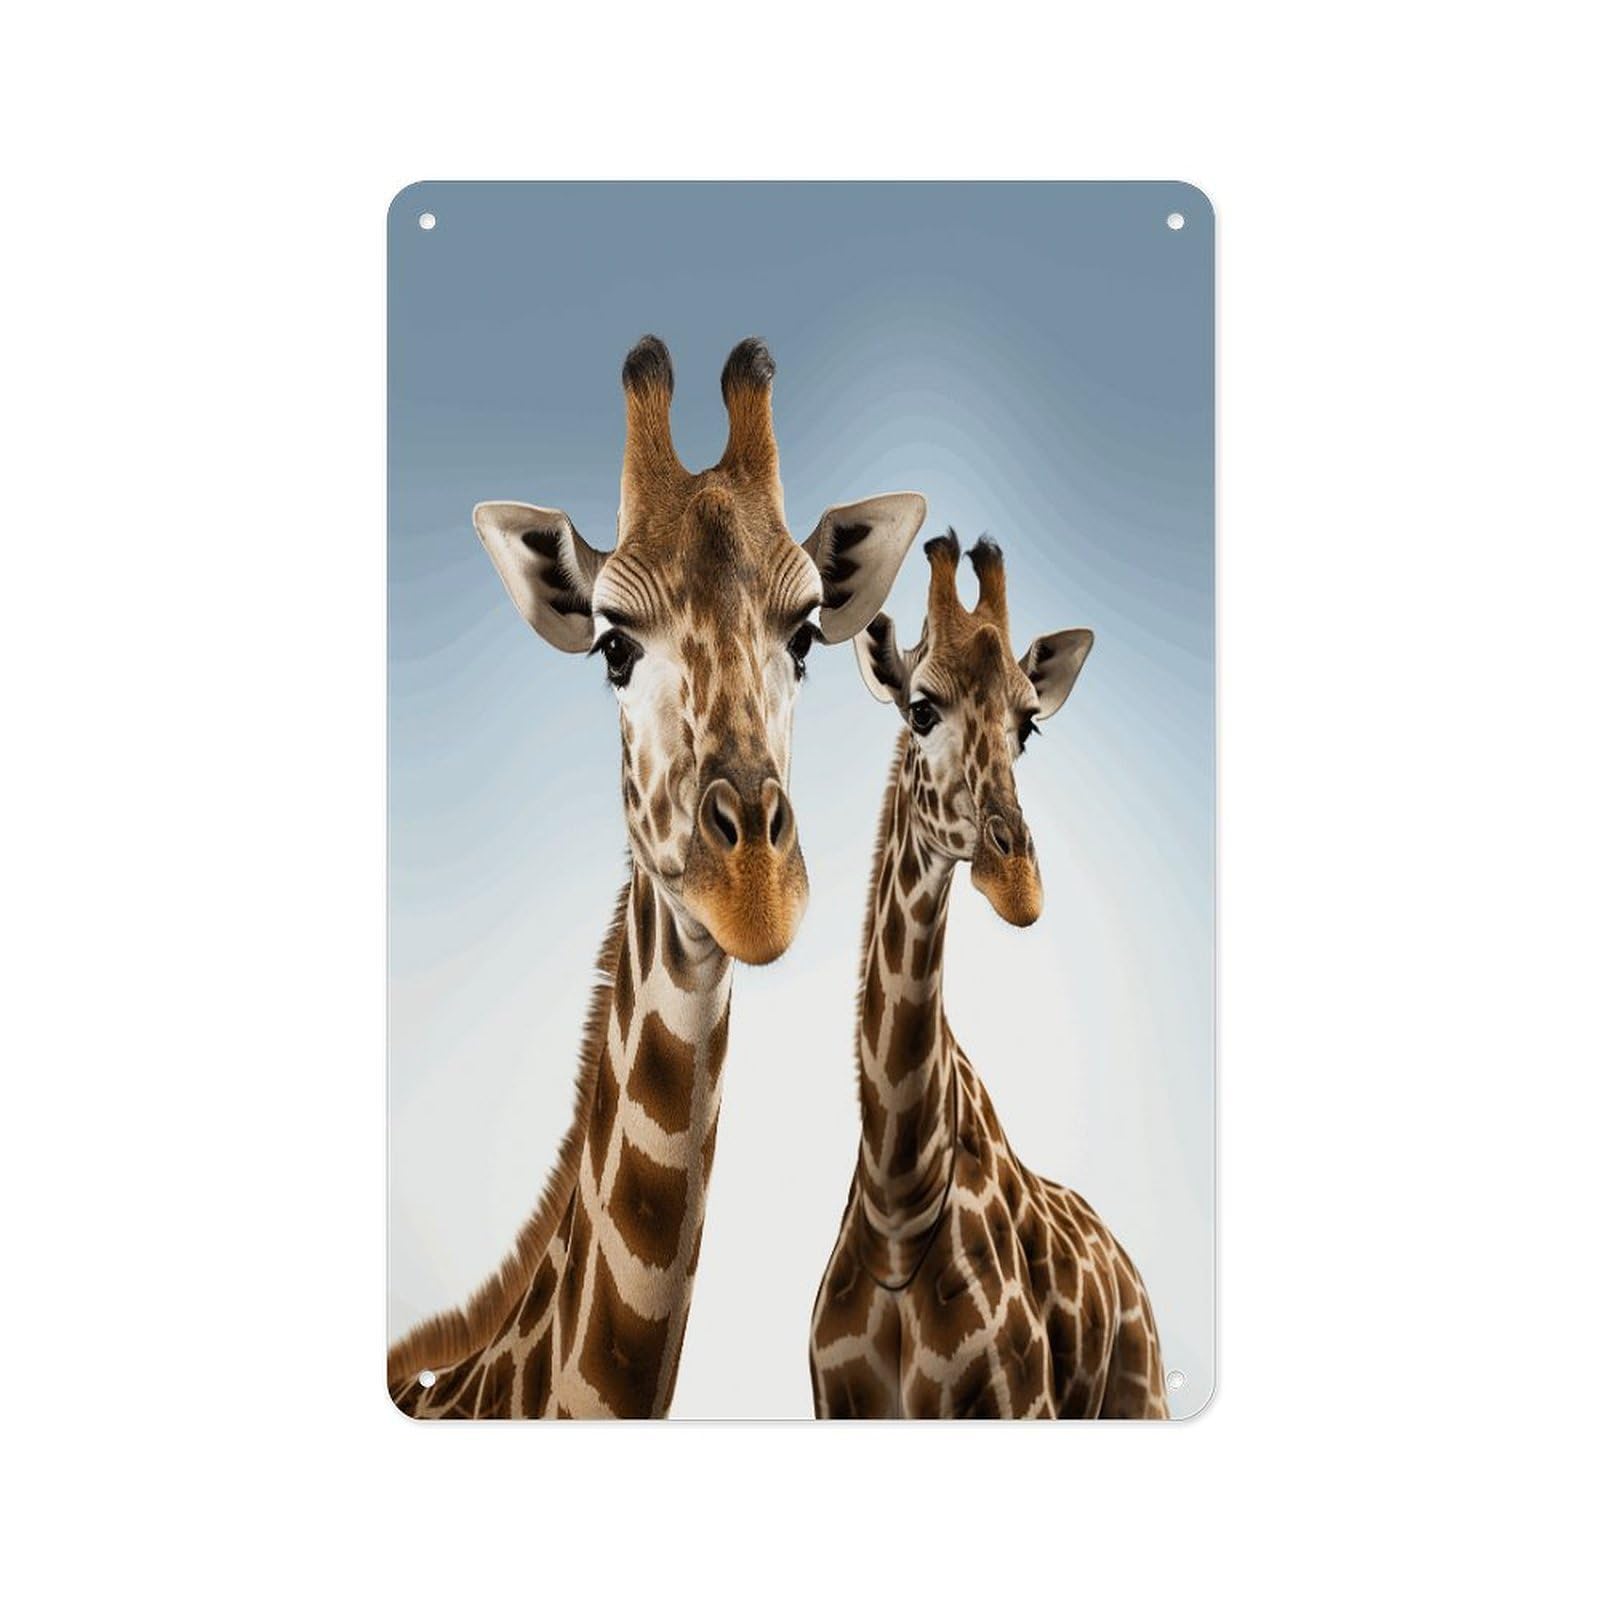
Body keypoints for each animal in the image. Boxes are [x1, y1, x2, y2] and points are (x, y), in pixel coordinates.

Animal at [808, 531, 1168, 1419]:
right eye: (920, 709)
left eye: (1028, 725)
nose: (1018, 886)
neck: (899, 1202)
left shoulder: (1017, 1402)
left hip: (1141, 1394)